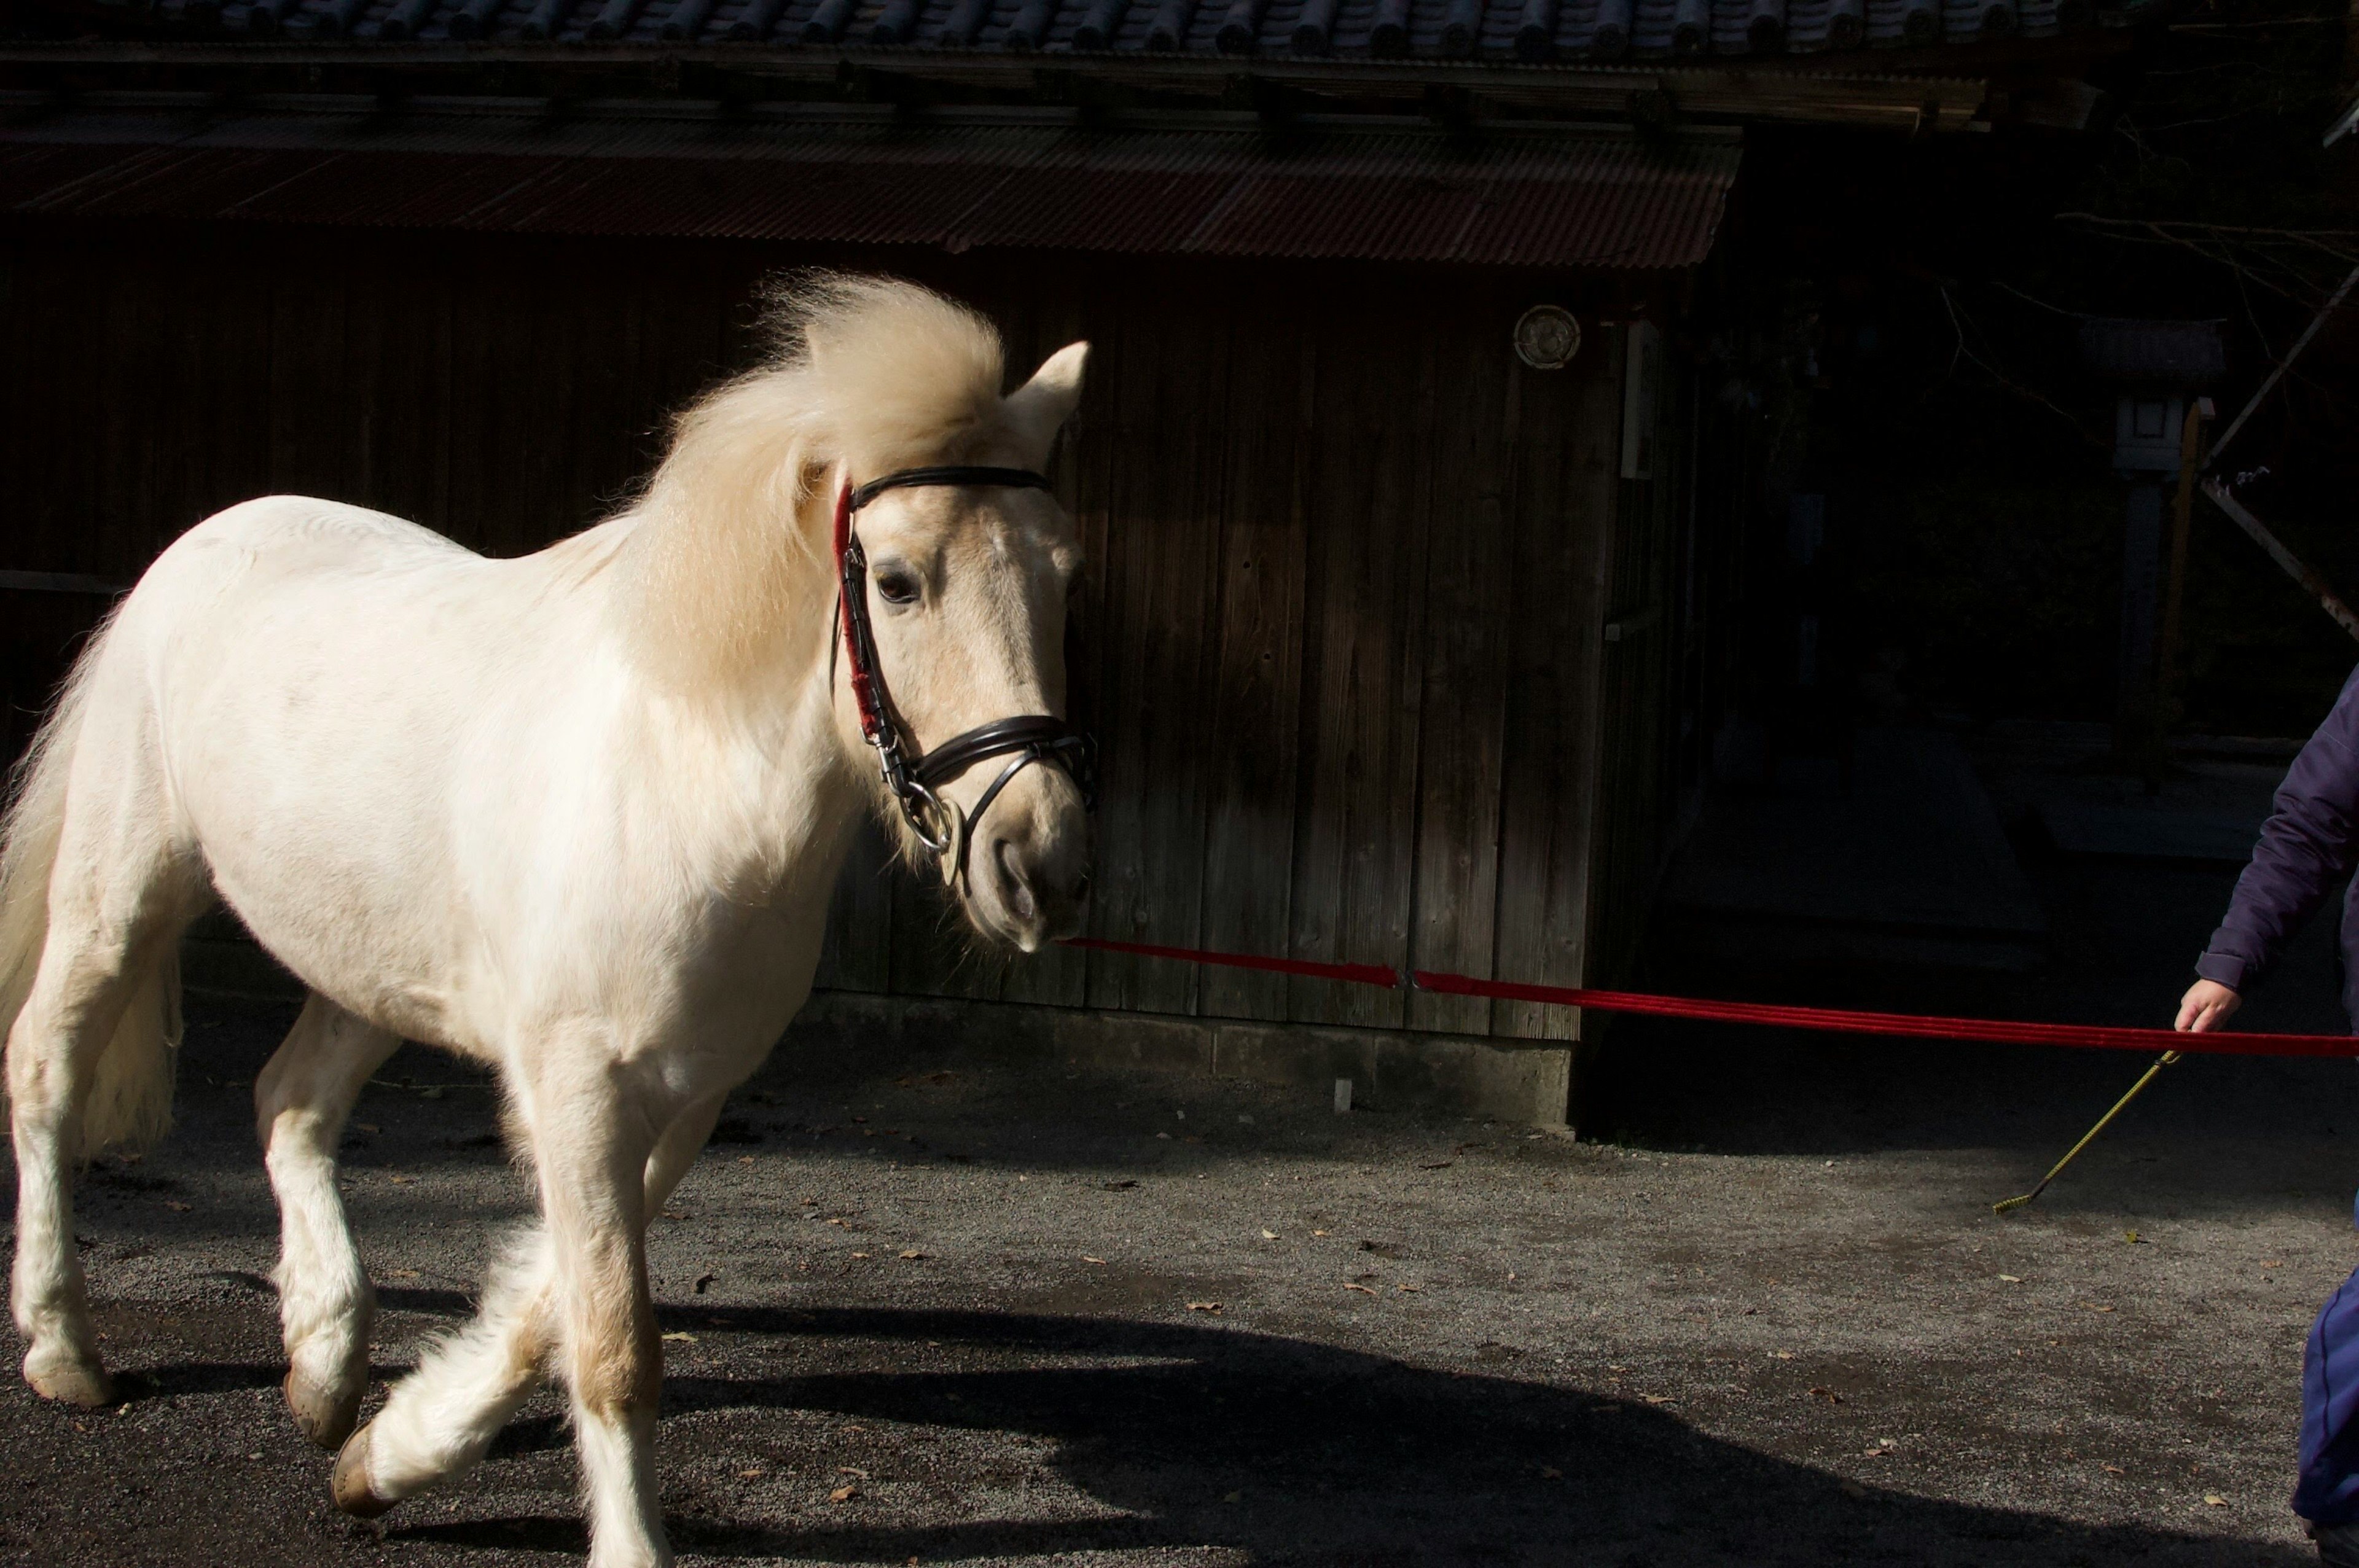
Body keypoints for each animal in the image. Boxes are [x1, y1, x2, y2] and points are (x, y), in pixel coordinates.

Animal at [0, 275, 1094, 1556]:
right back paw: (66, 1349)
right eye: (899, 579)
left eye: (1062, 575)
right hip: (122, 891)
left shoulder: (681, 1094)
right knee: (47, 1064)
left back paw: (324, 1366)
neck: (679, 772)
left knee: (289, 1103)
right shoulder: (577, 1087)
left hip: (377, 966)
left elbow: (550, 1310)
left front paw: (388, 1459)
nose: (1040, 864)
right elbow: (613, 1344)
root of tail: (202, 544)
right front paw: (626, 1540)